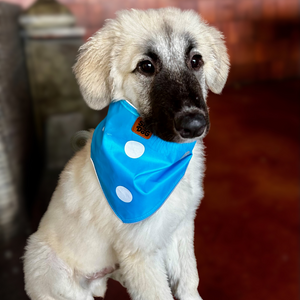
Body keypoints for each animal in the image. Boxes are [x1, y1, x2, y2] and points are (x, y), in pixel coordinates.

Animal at [23, 7, 230, 300]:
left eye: (195, 60)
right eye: (146, 66)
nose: (194, 125)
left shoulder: (179, 229)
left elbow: (189, 280)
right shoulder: (141, 252)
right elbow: (159, 292)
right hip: (45, 266)